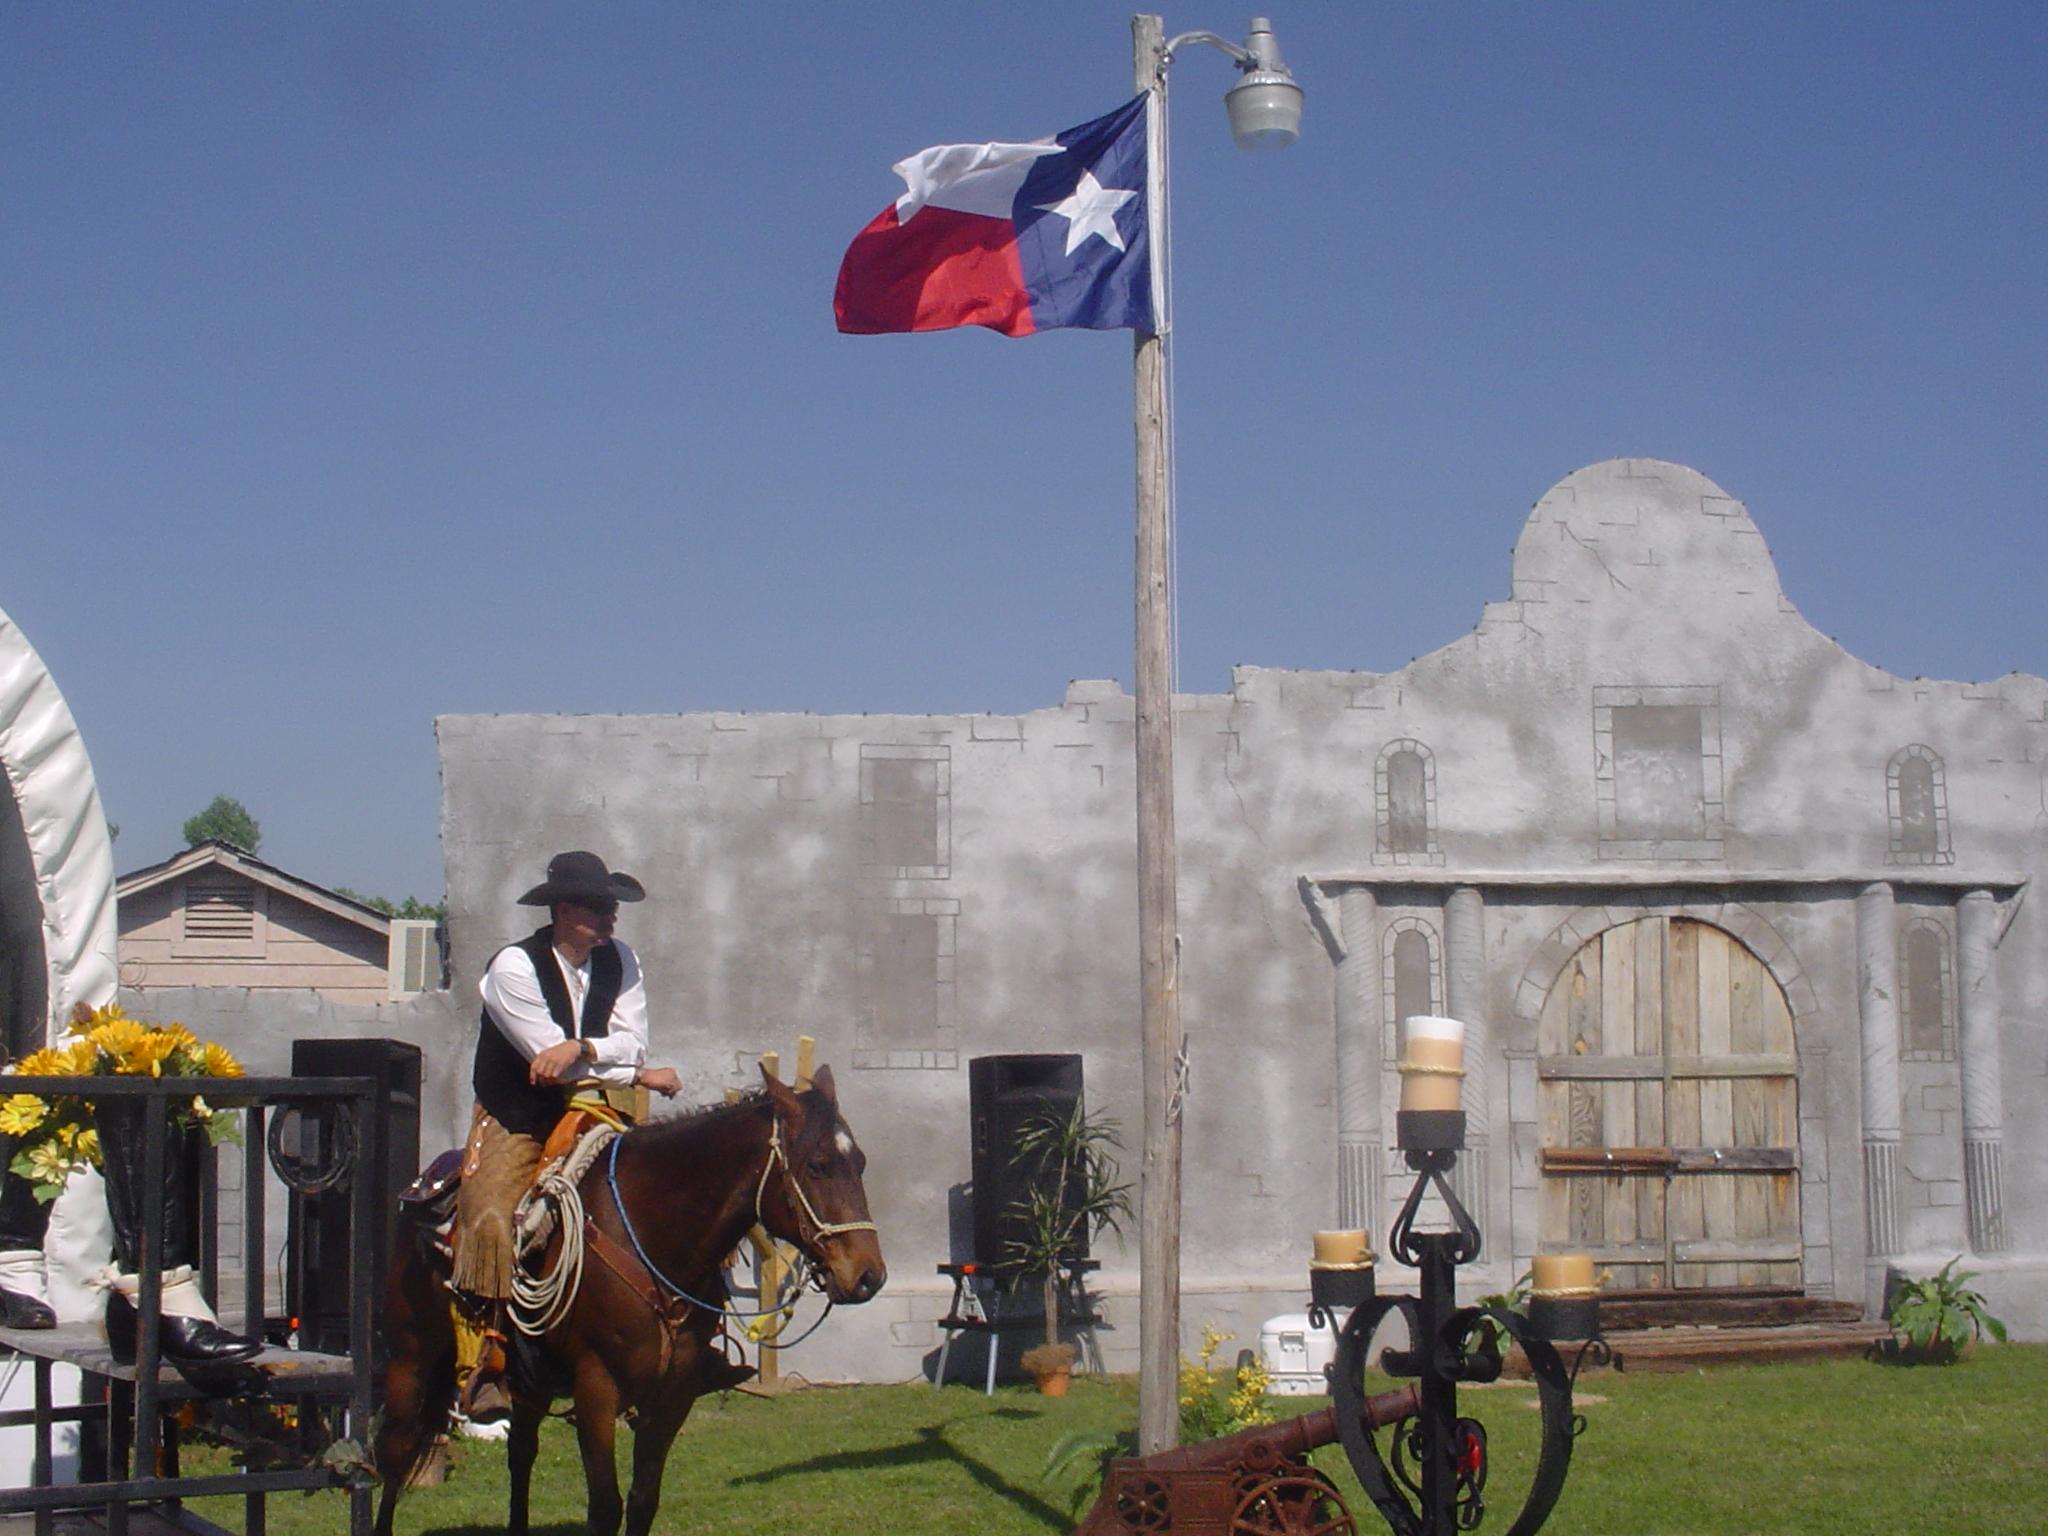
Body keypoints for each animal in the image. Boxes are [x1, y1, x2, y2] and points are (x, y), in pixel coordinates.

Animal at [372, 1073, 884, 1536]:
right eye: (817, 1165)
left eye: (859, 1162)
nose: (868, 1276)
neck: (646, 1234)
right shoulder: (597, 1390)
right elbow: (605, 1507)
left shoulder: (673, 1393)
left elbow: (642, 1500)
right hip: (410, 1359)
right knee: (396, 1454)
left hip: (529, 1381)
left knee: (521, 1452)